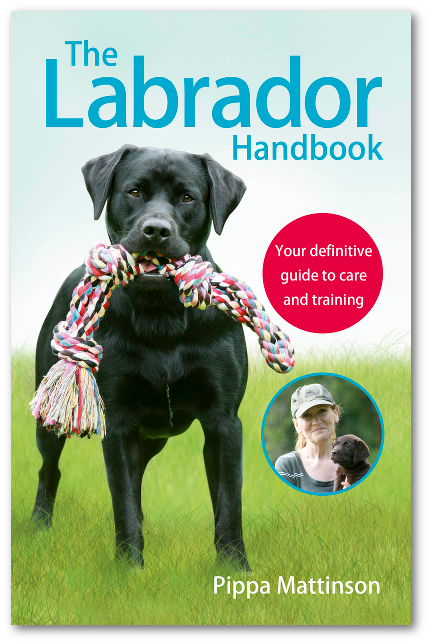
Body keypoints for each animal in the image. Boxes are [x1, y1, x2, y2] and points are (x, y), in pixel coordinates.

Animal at [32, 143, 252, 572]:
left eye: (187, 197)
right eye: (134, 191)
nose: (156, 230)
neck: (160, 313)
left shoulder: (223, 422)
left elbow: (228, 504)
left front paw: (235, 569)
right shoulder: (118, 422)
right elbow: (123, 504)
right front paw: (130, 570)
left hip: (155, 436)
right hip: (51, 418)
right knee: (49, 470)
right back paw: (38, 527)